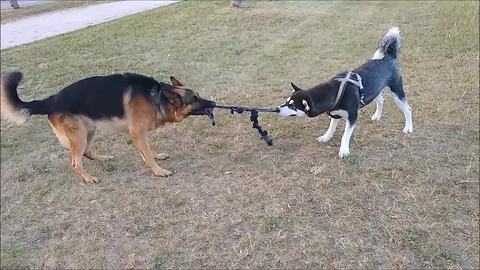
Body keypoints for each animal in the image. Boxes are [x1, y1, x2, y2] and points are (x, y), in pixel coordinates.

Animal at [0, 70, 214, 182]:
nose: (213, 102)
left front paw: (156, 157)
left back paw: (102, 158)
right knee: (75, 163)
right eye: (195, 99)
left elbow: (147, 152)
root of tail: (51, 100)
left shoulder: (138, 134)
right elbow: (147, 154)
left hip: (89, 130)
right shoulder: (138, 133)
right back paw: (88, 178)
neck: (157, 97)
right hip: (79, 135)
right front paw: (158, 170)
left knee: (87, 152)